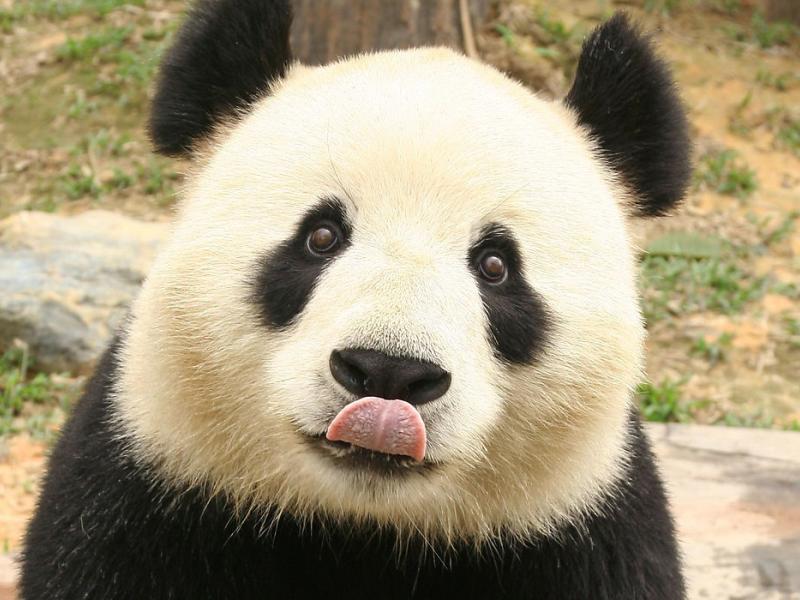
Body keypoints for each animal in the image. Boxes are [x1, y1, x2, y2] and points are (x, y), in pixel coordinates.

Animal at [21, 1, 691, 598]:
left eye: (497, 266)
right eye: (321, 236)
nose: (389, 372)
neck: (361, 527)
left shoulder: (578, 529)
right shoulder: (153, 483)